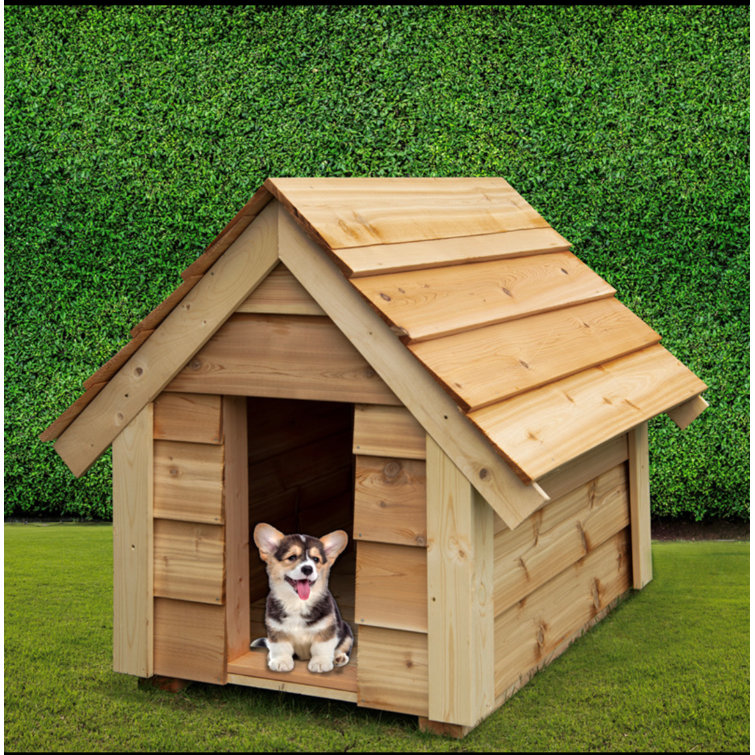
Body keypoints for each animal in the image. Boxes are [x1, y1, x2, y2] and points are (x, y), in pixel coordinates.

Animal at [250, 524, 352, 676]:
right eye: (292, 557)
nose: (308, 568)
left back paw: (338, 657)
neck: (298, 602)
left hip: (346, 631)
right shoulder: (276, 629)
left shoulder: (326, 629)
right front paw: (281, 662)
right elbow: (281, 647)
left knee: (342, 647)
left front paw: (320, 663)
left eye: (316, 559)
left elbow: (321, 647)